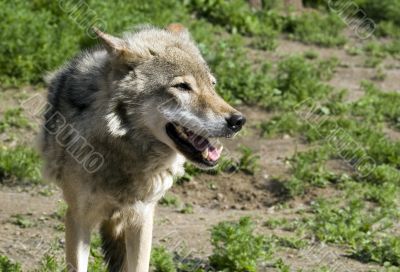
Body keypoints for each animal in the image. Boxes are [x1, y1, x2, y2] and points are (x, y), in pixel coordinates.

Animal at [38, 23, 244, 272]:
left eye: (212, 85)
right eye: (182, 86)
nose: (238, 121)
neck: (122, 151)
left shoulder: (142, 217)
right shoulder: (78, 217)